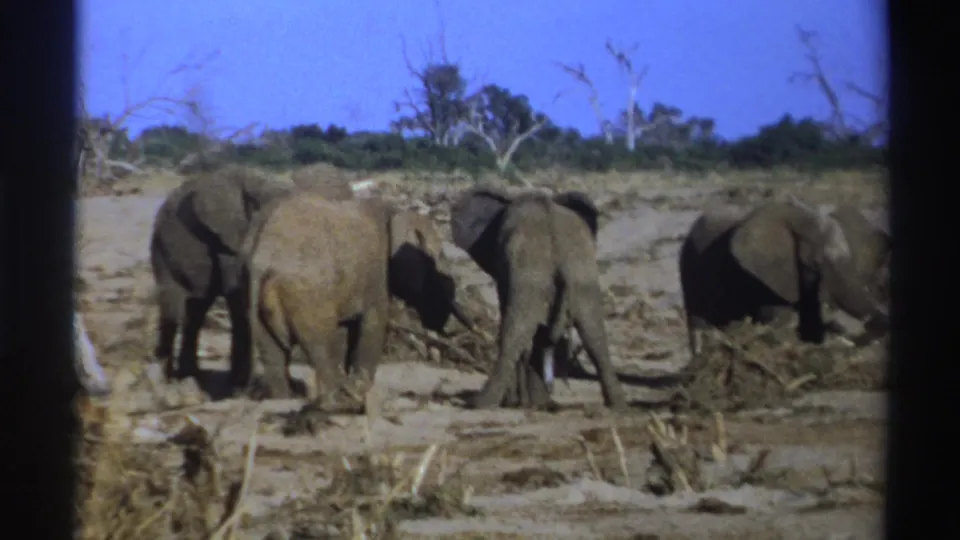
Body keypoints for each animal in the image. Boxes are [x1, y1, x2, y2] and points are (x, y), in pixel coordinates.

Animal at [148, 164, 360, 390]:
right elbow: (239, 298)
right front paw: (239, 388)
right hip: (162, 245)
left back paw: (188, 376)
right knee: (174, 308)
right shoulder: (227, 240)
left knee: (196, 309)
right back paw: (168, 379)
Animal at [241, 193, 472, 408]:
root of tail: (265, 258)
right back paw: (334, 399)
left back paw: (285, 398)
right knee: (319, 345)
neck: (393, 211)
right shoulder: (377, 276)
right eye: (437, 259)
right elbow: (373, 324)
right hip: (307, 295)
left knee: (272, 352)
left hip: (252, 294)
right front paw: (359, 389)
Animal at [449, 187, 629, 411]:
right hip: (582, 278)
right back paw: (618, 405)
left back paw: (480, 403)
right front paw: (536, 402)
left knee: (514, 333)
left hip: (532, 279)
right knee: (594, 335)